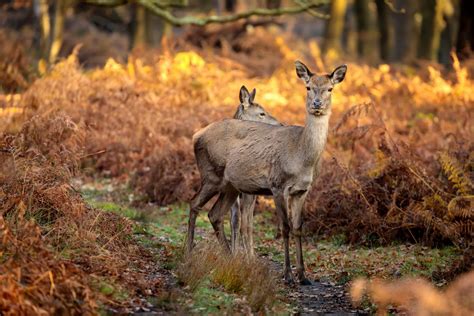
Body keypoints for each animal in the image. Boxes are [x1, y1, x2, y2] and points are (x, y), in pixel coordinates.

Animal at [231, 86, 284, 254]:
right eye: (262, 113)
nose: (282, 124)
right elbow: (238, 223)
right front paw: (236, 255)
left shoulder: (249, 193)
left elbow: (246, 224)